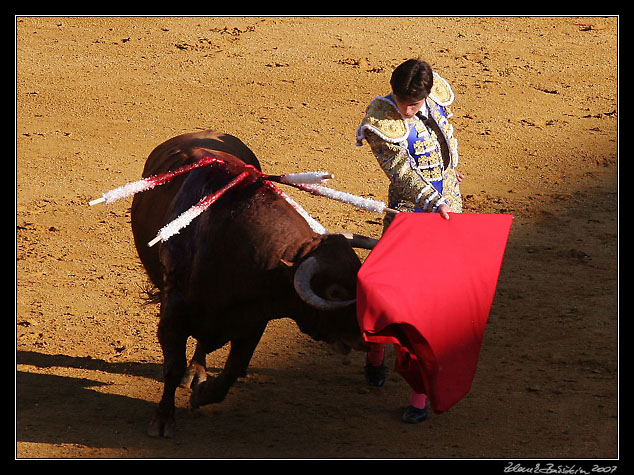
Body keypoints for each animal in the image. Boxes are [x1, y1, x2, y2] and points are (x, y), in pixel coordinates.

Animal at [130, 130, 372, 438]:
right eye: (335, 292)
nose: (366, 338)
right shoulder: (174, 309)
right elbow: (172, 367)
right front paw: (162, 420)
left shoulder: (255, 317)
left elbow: (235, 367)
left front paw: (203, 394)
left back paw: (197, 373)